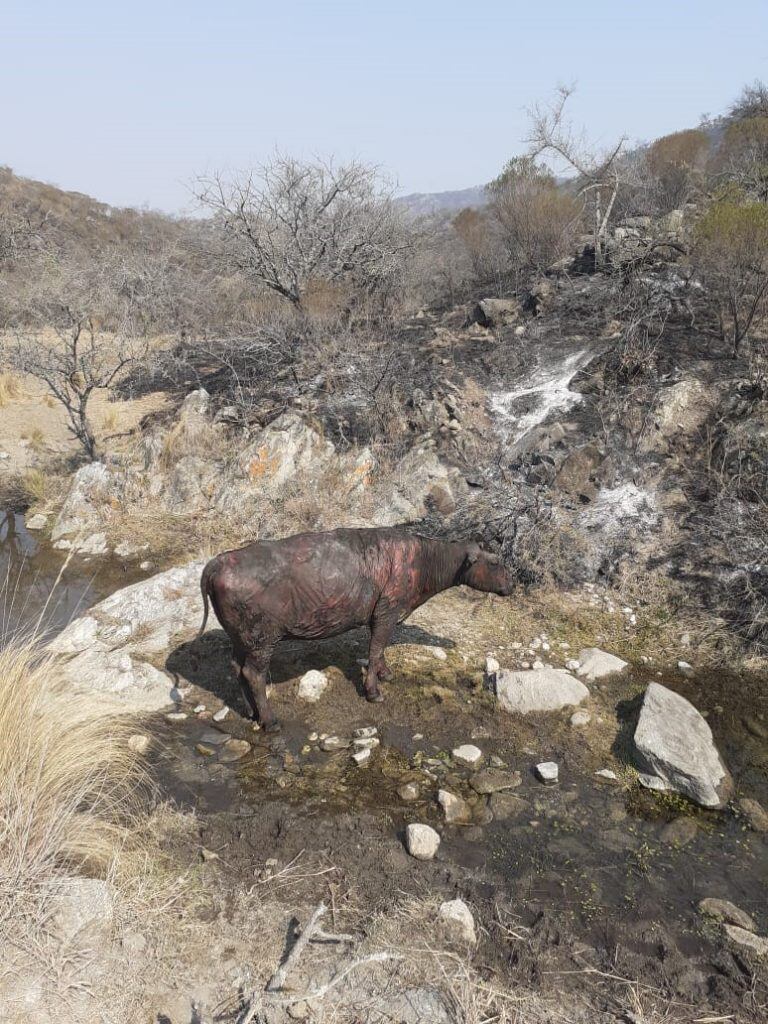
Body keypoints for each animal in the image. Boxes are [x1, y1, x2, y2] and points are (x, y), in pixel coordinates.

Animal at [198, 528, 518, 729]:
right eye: (494, 562)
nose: (512, 585)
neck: (422, 561)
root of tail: (216, 563)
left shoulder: (385, 616)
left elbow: (381, 651)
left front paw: (386, 674)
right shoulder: (386, 612)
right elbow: (375, 650)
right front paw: (373, 691)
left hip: (242, 639)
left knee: (236, 669)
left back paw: (251, 711)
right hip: (261, 639)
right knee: (253, 674)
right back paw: (269, 720)